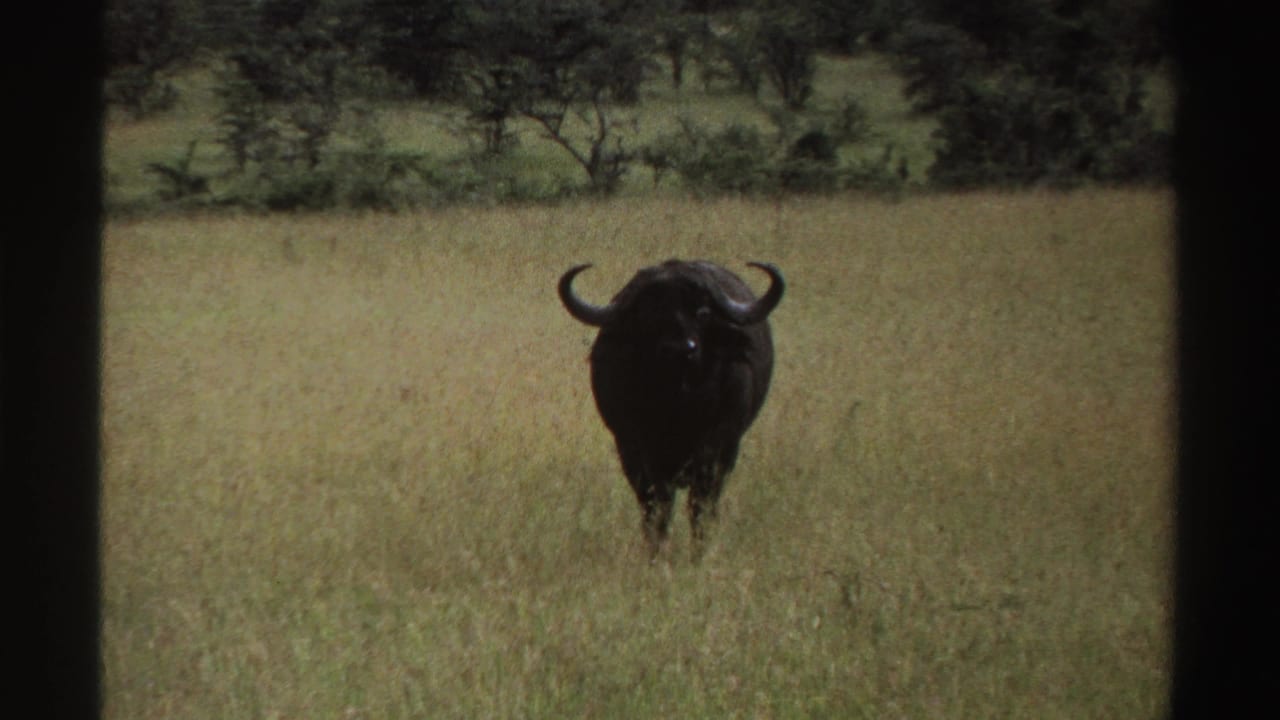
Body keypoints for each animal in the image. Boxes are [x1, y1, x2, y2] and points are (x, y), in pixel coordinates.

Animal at [558, 259, 785, 559]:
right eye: (648, 314)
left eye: (702, 312)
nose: (680, 349)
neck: (678, 404)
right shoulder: (637, 450)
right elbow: (658, 505)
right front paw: (657, 552)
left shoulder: (715, 448)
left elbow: (700, 507)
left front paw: (698, 553)